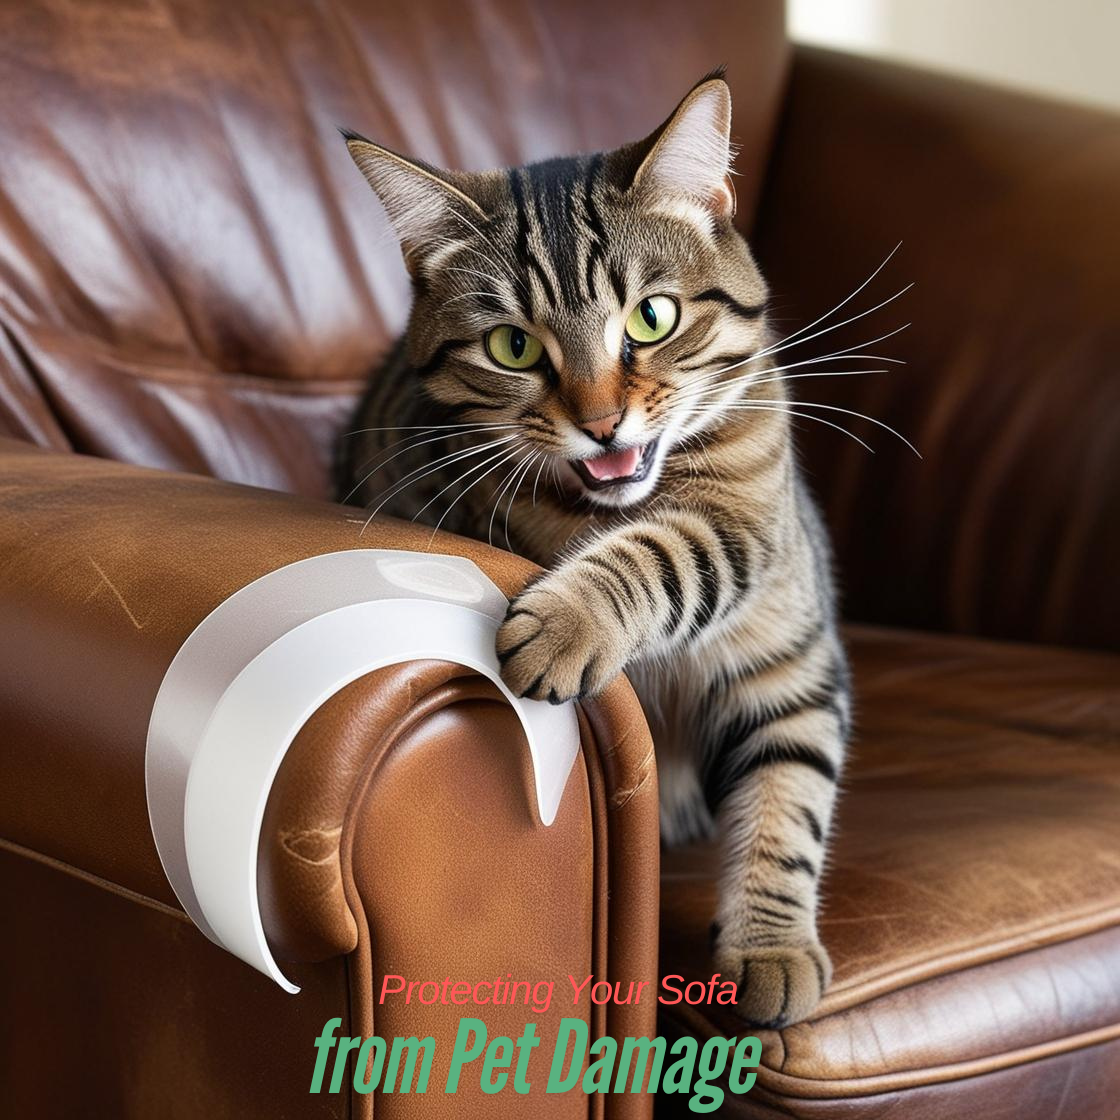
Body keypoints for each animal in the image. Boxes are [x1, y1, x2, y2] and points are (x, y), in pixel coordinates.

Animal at [336, 72, 851, 1030]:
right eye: (513, 346)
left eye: (651, 318)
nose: (603, 422)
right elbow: (650, 551)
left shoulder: (770, 595)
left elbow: (787, 791)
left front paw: (771, 946)